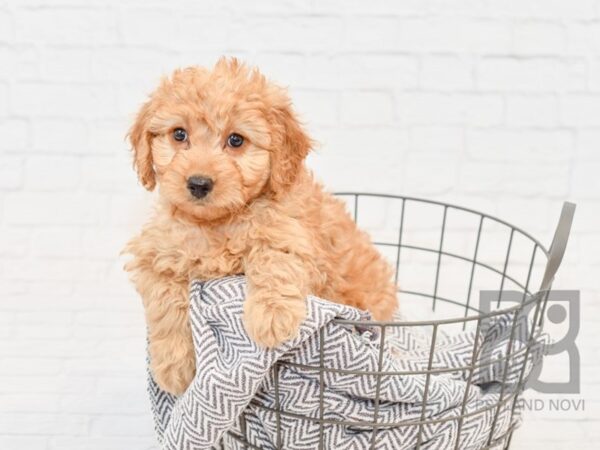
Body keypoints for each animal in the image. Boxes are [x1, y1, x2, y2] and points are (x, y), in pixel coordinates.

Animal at [123, 58, 398, 396]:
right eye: (179, 134)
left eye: (236, 140)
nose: (199, 183)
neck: (215, 222)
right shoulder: (153, 254)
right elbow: (164, 300)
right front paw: (172, 365)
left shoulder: (294, 236)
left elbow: (274, 258)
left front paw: (272, 316)